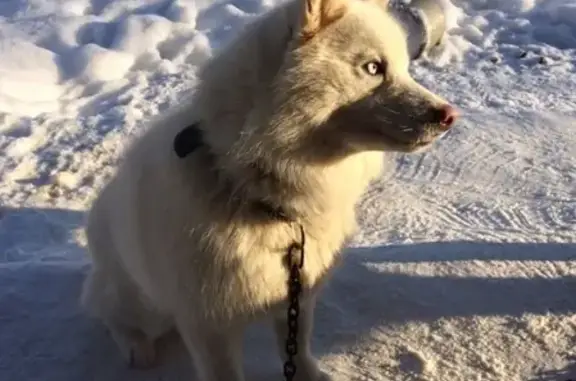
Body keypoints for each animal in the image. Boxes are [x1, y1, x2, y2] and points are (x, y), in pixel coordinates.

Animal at [81, 0, 460, 378]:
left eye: (404, 67)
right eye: (372, 68)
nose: (450, 116)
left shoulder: (298, 292)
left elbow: (297, 346)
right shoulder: (209, 325)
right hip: (148, 304)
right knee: (105, 309)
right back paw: (135, 347)